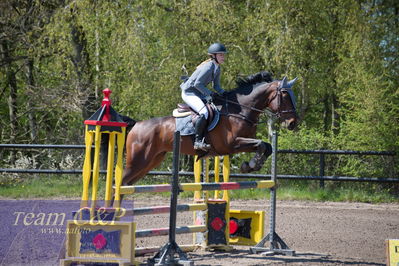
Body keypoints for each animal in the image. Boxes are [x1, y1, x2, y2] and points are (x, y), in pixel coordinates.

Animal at [123, 71, 298, 186]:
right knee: (121, 182)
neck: (240, 110)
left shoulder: (244, 142)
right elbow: (261, 144)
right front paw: (252, 165)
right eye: (284, 94)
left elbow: (267, 146)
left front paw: (251, 165)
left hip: (152, 161)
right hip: (138, 160)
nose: (292, 123)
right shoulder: (231, 144)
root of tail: (137, 125)